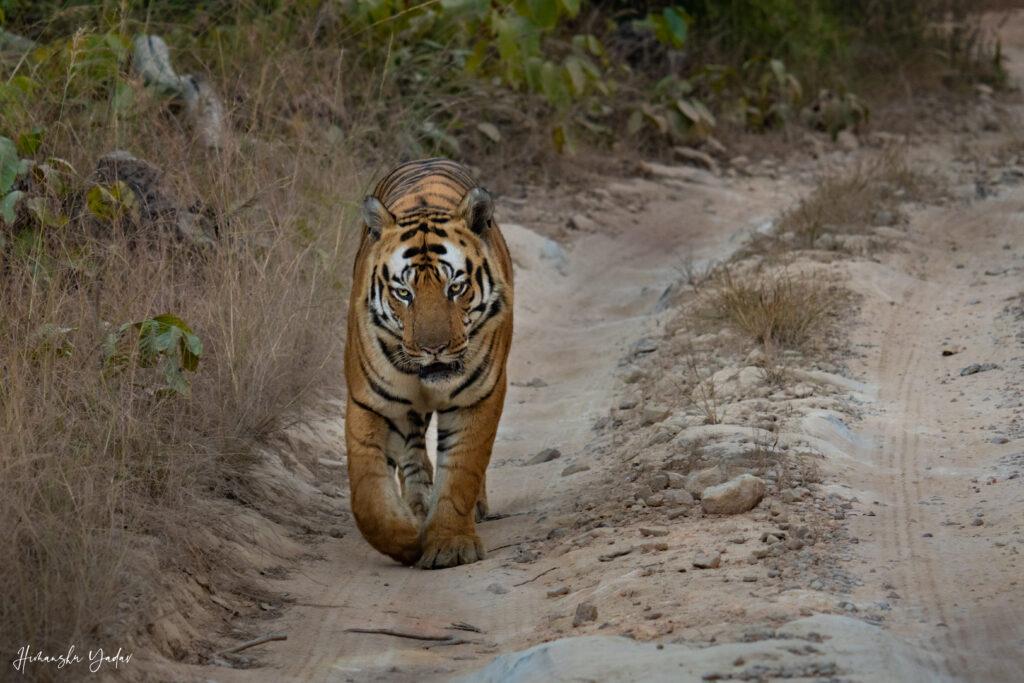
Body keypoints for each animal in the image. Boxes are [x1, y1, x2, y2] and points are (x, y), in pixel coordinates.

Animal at [344, 158, 514, 569]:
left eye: (456, 287)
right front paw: (407, 539)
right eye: (403, 293)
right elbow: (367, 496)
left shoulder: (477, 397)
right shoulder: (369, 402)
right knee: (413, 449)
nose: (433, 348)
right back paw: (417, 506)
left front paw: (449, 545)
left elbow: (462, 471)